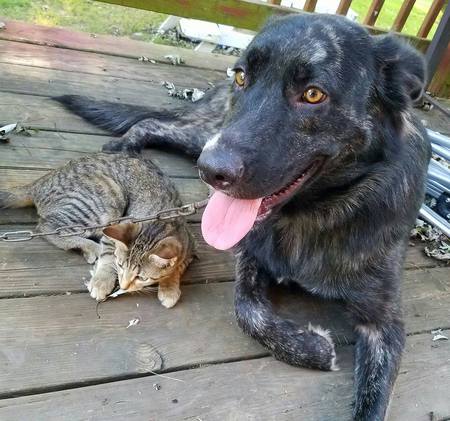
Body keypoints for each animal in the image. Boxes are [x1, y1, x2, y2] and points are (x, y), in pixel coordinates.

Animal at [0, 153, 193, 306]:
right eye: (121, 265)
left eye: (142, 278)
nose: (124, 286)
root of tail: (39, 183)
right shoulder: (116, 224)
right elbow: (108, 256)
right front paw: (102, 280)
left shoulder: (190, 244)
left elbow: (177, 268)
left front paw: (169, 287)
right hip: (107, 199)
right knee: (48, 226)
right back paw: (92, 247)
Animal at [55, 13, 428, 420]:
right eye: (242, 77)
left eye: (313, 94)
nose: (211, 172)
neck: (311, 216)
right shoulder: (249, 256)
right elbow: (247, 310)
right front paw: (313, 348)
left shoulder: (385, 323)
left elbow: (373, 403)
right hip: (205, 134)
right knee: (152, 124)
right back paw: (124, 145)